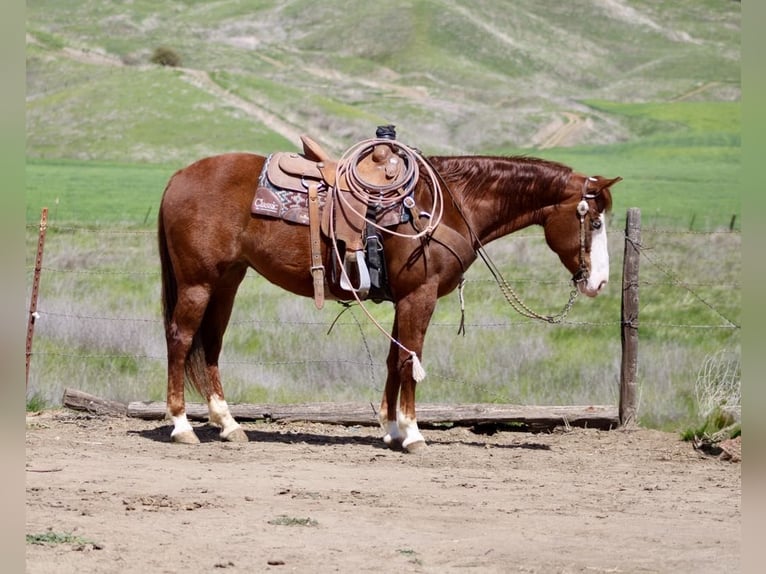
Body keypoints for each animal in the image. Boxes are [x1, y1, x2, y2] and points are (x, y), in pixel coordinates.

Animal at [158, 142, 621, 452]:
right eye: (595, 222)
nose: (598, 283)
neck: (450, 205)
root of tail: (178, 176)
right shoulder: (421, 295)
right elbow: (410, 359)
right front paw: (413, 433)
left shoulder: (405, 299)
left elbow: (393, 359)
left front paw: (392, 428)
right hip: (198, 282)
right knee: (181, 339)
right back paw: (182, 427)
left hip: (227, 281)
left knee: (210, 344)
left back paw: (228, 424)